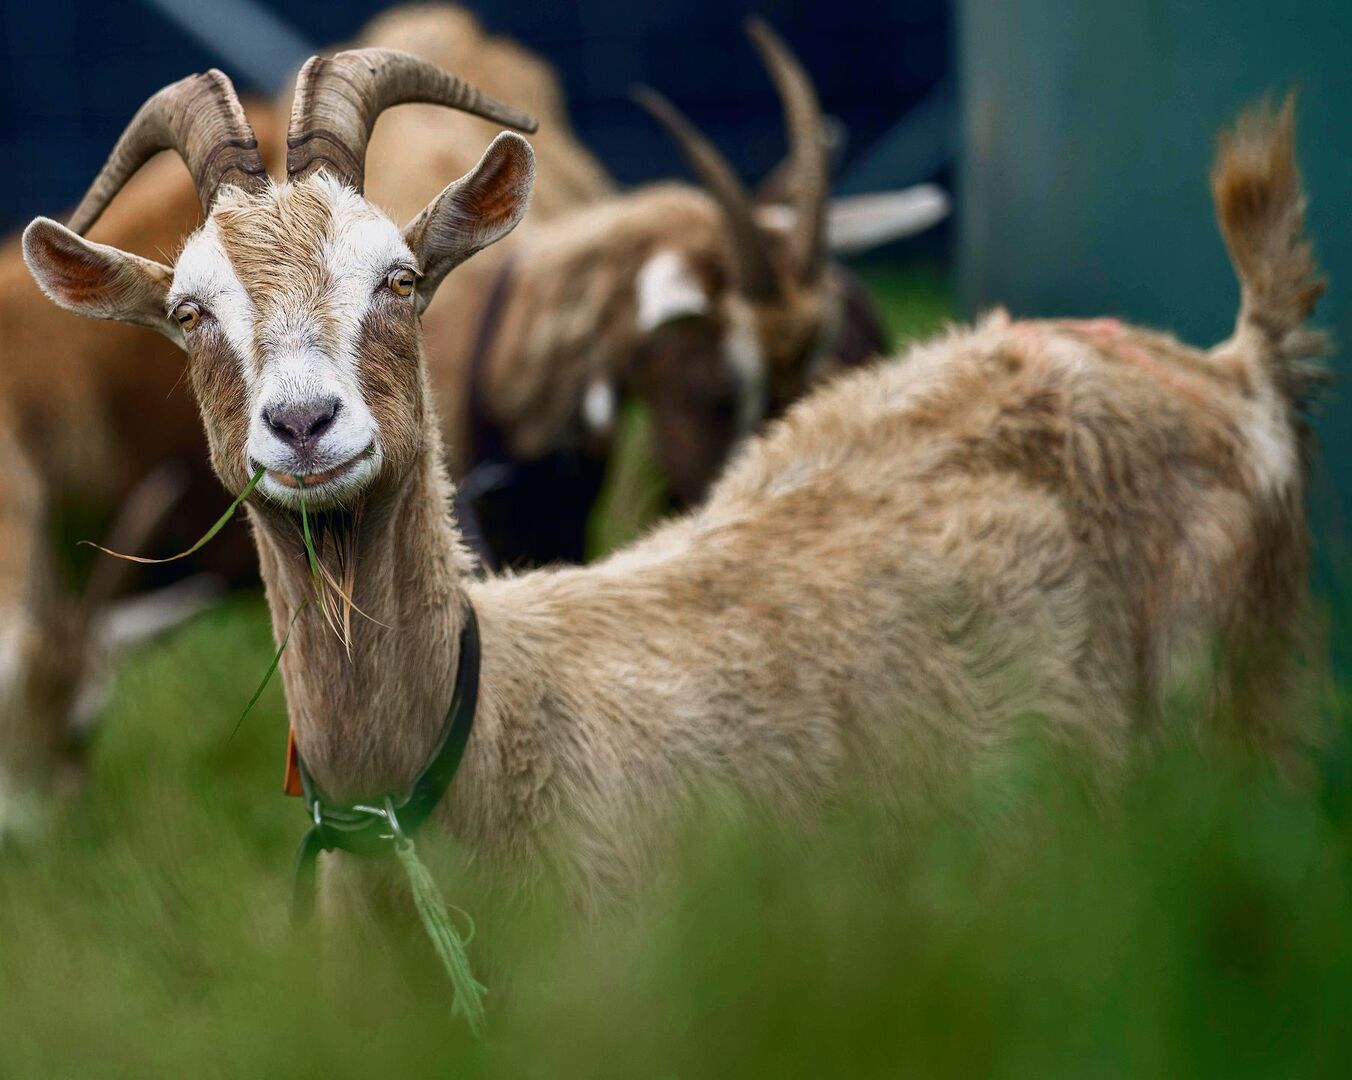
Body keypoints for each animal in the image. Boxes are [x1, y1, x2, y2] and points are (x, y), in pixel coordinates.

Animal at [24, 48, 1324, 920]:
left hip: (1245, 729)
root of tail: (1228, 365)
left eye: (399, 276)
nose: (303, 425)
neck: (493, 732)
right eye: (190, 312)